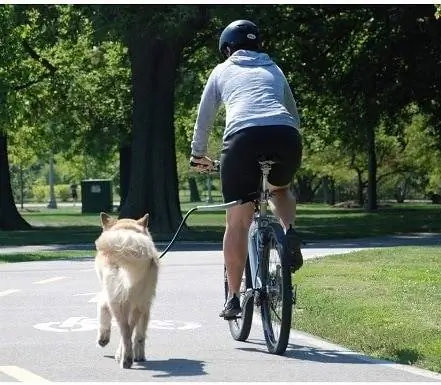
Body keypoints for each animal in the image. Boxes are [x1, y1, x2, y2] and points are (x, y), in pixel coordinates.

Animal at [93, 212, 159, 368]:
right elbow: (139, 334)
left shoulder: (106, 296)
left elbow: (102, 310)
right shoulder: (145, 305)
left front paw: (103, 339)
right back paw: (128, 357)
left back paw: (125, 358)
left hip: (117, 300)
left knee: (125, 330)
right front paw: (139, 354)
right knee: (130, 329)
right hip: (138, 301)